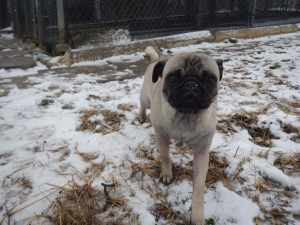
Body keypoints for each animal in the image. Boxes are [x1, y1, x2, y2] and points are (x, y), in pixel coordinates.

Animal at [138, 46, 223, 224]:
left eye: (210, 80)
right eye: (172, 79)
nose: (191, 84)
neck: (186, 115)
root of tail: (158, 59)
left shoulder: (201, 152)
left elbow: (199, 186)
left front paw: (197, 214)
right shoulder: (161, 136)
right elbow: (165, 156)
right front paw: (167, 174)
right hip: (146, 98)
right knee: (142, 104)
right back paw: (141, 116)